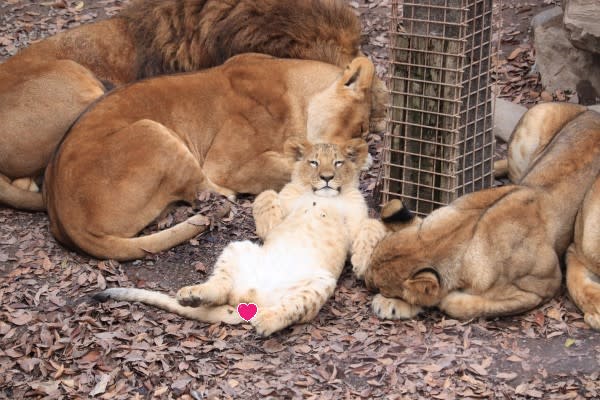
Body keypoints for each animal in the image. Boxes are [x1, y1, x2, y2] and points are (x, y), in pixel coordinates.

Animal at [44, 54, 378, 262]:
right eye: (360, 127)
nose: (363, 152)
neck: (295, 90)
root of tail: (65, 219)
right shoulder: (226, 166)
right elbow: (291, 170)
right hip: (152, 130)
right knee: (207, 193)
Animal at [364, 102, 596, 322]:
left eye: (382, 288)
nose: (365, 282)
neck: (458, 233)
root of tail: (592, 112)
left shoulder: (541, 287)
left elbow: (458, 305)